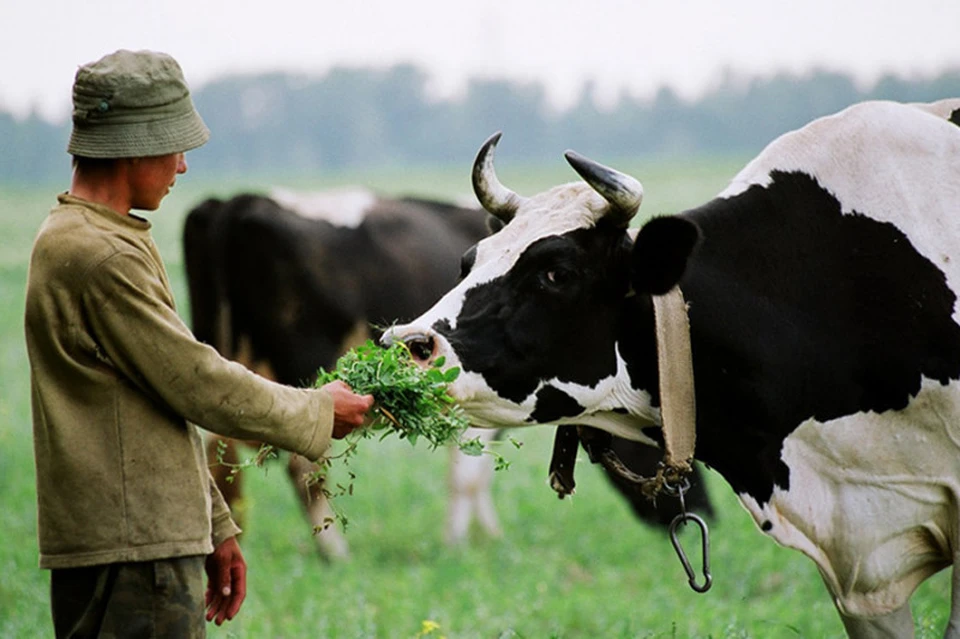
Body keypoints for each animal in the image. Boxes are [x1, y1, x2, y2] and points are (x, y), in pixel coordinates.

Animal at [186, 186, 712, 560]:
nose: (706, 512)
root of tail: (235, 202)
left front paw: (487, 535)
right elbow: (469, 473)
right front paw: (460, 544)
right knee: (304, 465)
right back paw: (335, 551)